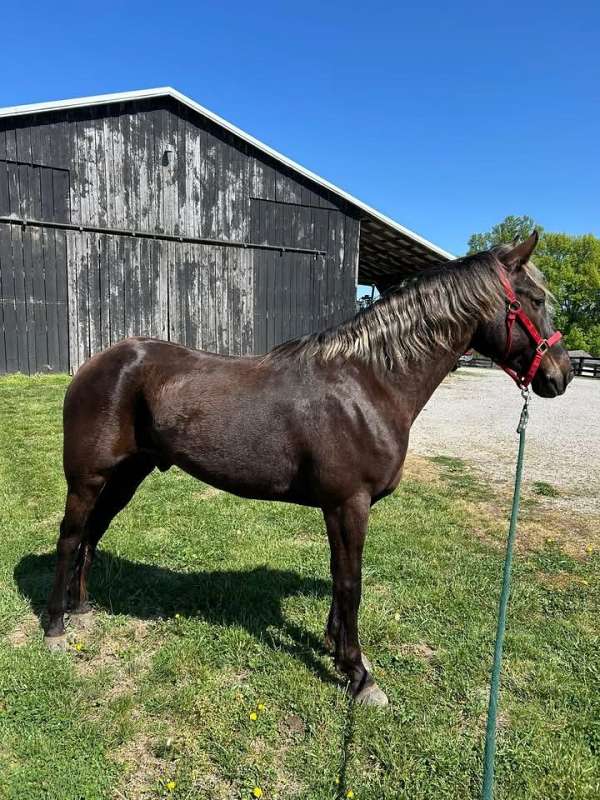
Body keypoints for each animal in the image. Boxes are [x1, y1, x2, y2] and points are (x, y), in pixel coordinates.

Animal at [44, 231, 573, 706]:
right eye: (536, 299)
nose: (561, 375)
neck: (369, 384)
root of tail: (98, 362)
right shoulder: (349, 504)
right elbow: (351, 583)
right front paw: (360, 675)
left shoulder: (340, 508)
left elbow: (340, 578)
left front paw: (336, 650)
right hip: (87, 478)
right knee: (70, 539)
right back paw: (55, 627)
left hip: (127, 476)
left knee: (92, 536)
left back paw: (82, 609)